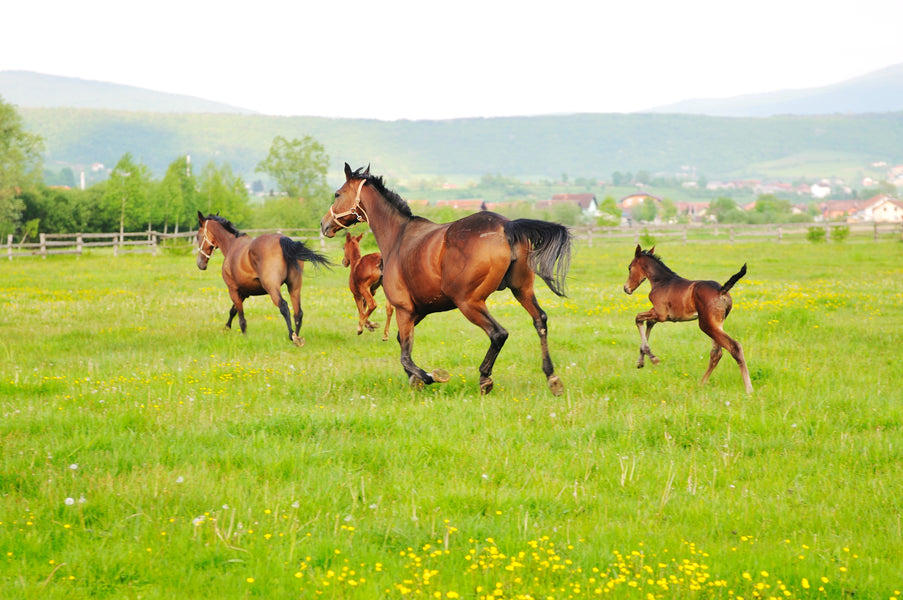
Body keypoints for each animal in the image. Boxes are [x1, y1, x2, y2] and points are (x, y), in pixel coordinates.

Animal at [194, 212, 332, 344]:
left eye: (198, 236)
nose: (200, 264)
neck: (232, 246)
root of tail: (285, 240)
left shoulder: (233, 290)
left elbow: (241, 317)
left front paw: (244, 337)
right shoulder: (244, 292)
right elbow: (233, 311)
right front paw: (226, 328)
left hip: (272, 287)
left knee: (284, 306)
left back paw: (292, 336)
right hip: (294, 286)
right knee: (298, 313)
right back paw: (297, 337)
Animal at [320, 164, 572, 396]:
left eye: (338, 194)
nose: (324, 225)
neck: (398, 237)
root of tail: (507, 226)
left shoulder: (404, 309)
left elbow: (405, 355)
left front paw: (430, 376)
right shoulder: (418, 310)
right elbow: (402, 343)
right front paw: (415, 379)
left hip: (469, 302)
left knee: (498, 333)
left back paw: (485, 378)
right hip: (521, 289)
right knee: (540, 321)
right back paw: (551, 377)